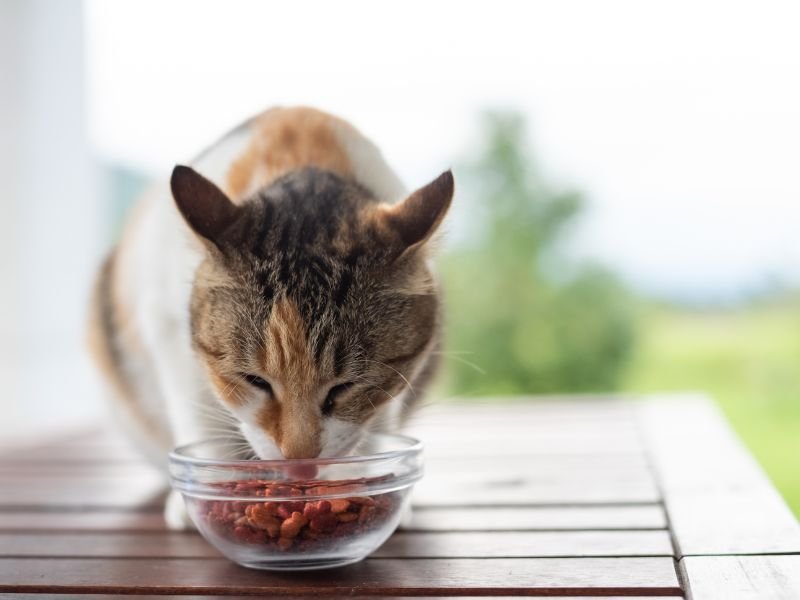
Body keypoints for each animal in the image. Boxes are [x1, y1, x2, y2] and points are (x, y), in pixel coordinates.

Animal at [88, 105, 454, 528]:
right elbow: (198, 416)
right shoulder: (166, 328)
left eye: (345, 387)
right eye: (254, 380)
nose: (300, 463)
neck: (302, 149)